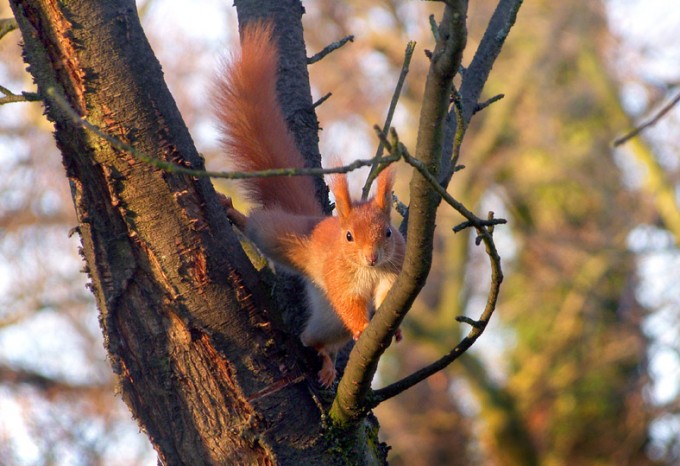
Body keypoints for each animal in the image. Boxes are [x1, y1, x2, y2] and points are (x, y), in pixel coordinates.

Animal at [213, 21, 405, 387]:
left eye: (389, 232)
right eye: (349, 237)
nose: (372, 257)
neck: (369, 270)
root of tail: (314, 221)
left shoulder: (393, 274)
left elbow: (386, 298)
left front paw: (397, 331)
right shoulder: (341, 281)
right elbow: (351, 303)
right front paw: (363, 326)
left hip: (329, 324)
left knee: (315, 341)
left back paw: (327, 364)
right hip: (282, 239)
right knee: (260, 227)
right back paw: (232, 213)